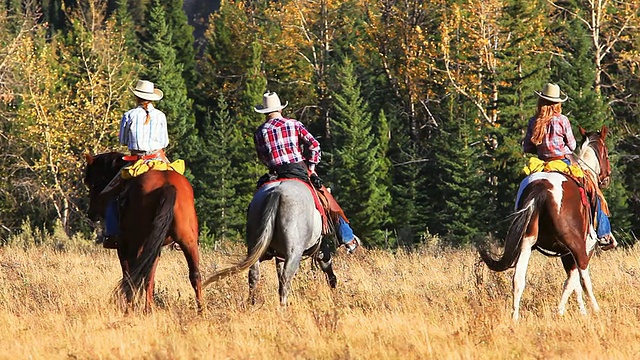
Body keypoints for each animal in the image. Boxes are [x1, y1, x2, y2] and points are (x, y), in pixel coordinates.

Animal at [84, 152, 201, 312]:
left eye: (93, 184)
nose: (91, 213)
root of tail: (167, 186)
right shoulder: (155, 248)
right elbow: (150, 277)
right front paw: (148, 308)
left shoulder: (124, 247)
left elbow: (130, 274)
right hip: (188, 241)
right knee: (195, 275)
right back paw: (201, 311)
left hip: (136, 243)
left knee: (134, 276)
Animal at [204, 179, 336, 306]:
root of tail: (277, 192)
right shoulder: (320, 248)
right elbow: (326, 262)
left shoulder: (279, 257)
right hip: (294, 253)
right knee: (286, 279)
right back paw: (283, 305)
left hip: (257, 249)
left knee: (254, 275)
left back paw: (251, 303)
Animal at [482, 125, 612, 320]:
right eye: (606, 153)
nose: (607, 178)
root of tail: (541, 188)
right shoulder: (583, 247)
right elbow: (575, 279)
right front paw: (569, 310)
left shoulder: (565, 253)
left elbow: (572, 280)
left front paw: (579, 310)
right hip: (576, 244)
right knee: (583, 275)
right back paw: (591, 309)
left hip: (526, 243)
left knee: (518, 279)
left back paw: (515, 317)